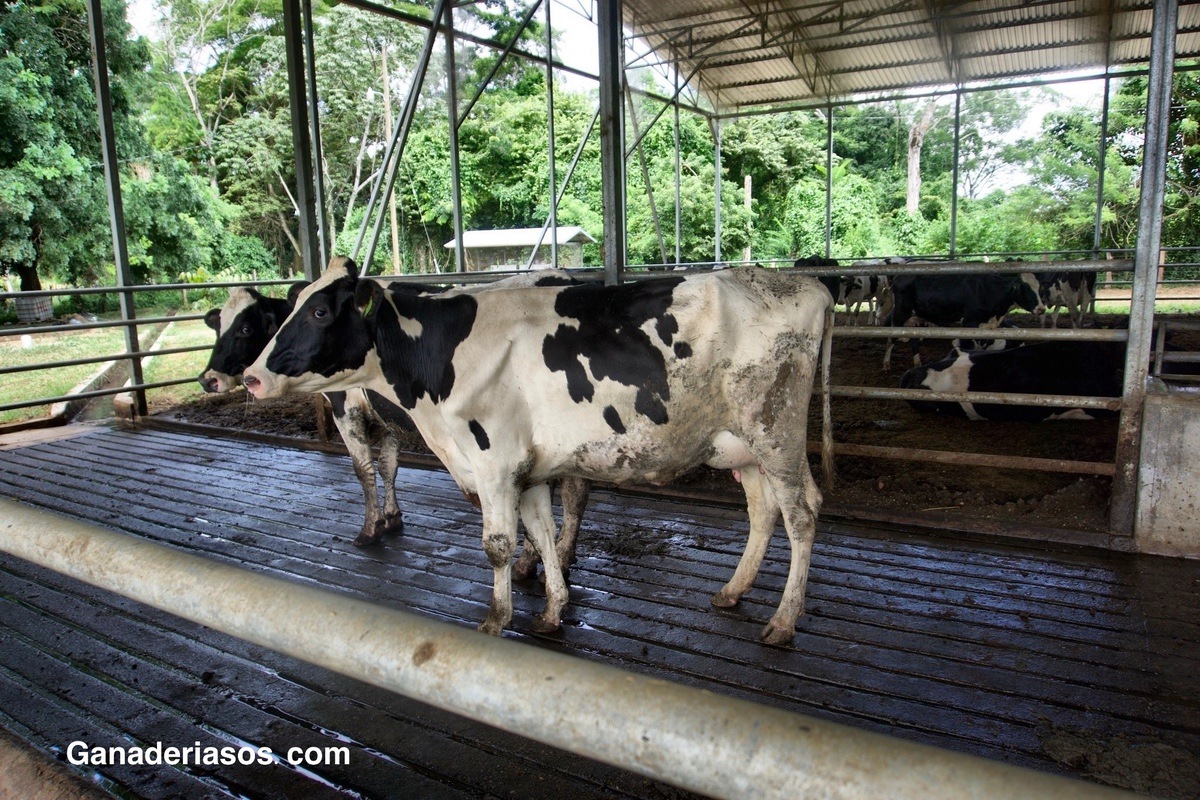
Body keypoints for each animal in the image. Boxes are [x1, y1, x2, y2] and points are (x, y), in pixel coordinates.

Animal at [200, 278, 590, 578]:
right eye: (218, 325)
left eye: (245, 328)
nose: (208, 379)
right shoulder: (386, 418)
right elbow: (389, 465)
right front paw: (392, 517)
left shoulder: (345, 409)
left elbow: (363, 470)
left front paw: (370, 528)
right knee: (574, 493)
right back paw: (561, 555)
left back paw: (532, 561)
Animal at [243, 260, 835, 647]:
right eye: (291, 308)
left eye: (321, 312)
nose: (250, 377)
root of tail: (801, 282)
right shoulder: (526, 470)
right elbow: (545, 534)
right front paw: (552, 610)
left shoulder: (493, 462)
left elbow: (499, 546)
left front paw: (496, 619)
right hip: (742, 446)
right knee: (763, 511)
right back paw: (733, 590)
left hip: (775, 430)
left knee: (802, 513)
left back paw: (784, 620)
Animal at [878, 271, 1046, 367]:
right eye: (1024, 289)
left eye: (1039, 288)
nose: (1041, 309)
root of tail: (900, 276)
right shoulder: (968, 323)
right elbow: (968, 347)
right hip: (900, 314)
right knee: (891, 338)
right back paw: (886, 363)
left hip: (916, 318)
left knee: (914, 341)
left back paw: (917, 363)